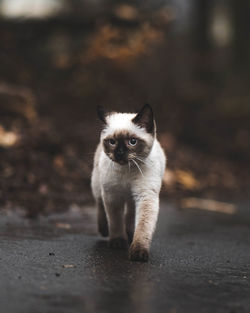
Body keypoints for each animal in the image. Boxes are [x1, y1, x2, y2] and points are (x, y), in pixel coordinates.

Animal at [91, 103, 166, 260]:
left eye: (132, 142)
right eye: (112, 142)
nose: (119, 153)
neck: (127, 170)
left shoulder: (145, 196)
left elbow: (143, 227)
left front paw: (138, 252)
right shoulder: (112, 195)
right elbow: (115, 221)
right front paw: (118, 242)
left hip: (132, 198)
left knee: (130, 215)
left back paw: (130, 233)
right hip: (97, 186)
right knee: (100, 204)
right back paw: (104, 230)